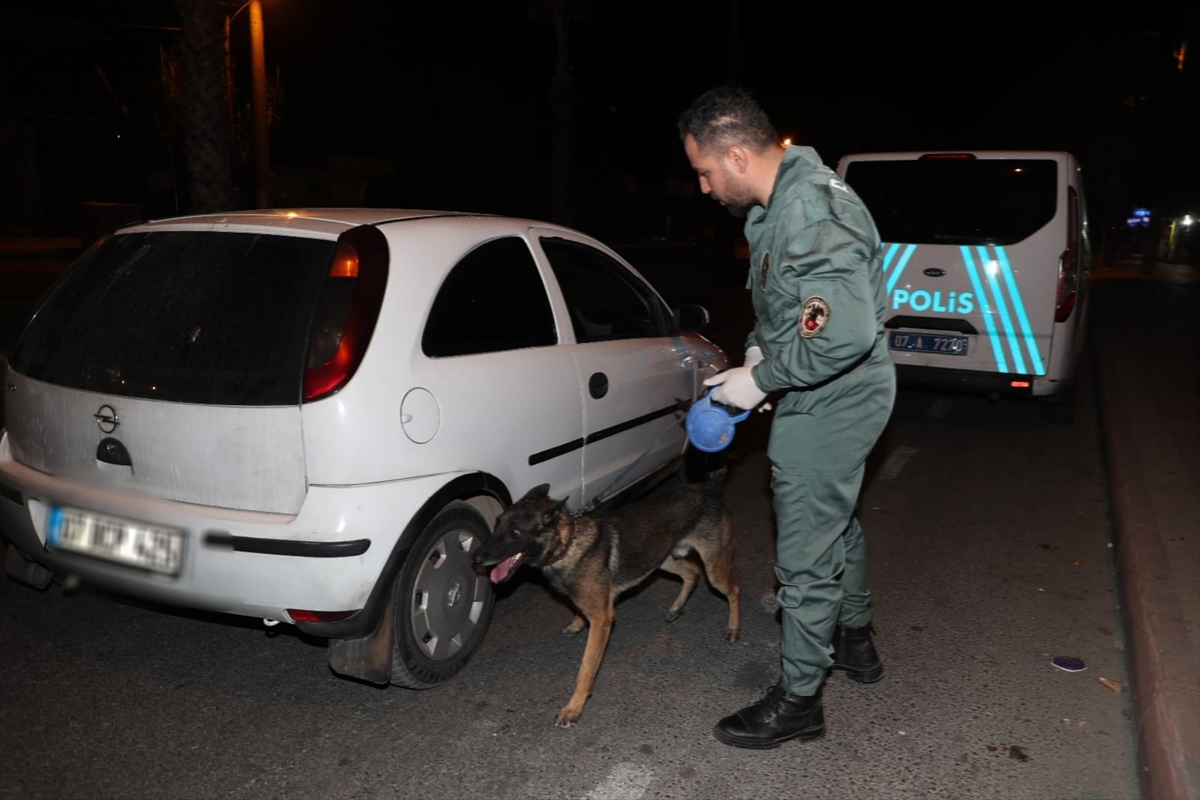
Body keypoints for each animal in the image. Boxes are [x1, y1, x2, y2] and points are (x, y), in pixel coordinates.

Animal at [470, 470, 734, 724]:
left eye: (515, 533)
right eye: (496, 524)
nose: (475, 557)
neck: (568, 546)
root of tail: (707, 489)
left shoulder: (602, 619)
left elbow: (586, 668)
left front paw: (574, 707)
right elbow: (574, 606)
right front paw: (576, 622)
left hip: (713, 570)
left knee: (733, 590)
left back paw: (733, 628)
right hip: (661, 560)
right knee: (692, 572)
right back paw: (677, 607)